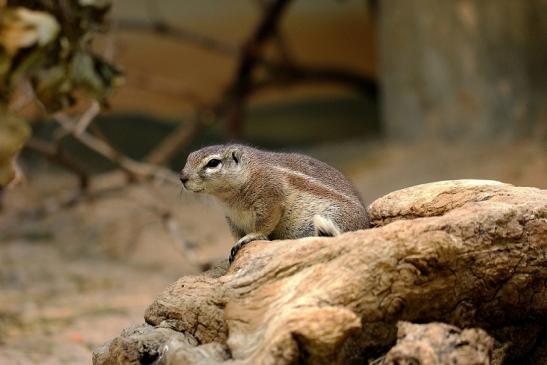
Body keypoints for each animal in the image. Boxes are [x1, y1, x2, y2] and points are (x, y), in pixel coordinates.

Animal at [180, 144, 368, 264]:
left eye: (213, 163)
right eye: (188, 157)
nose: (182, 177)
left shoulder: (270, 198)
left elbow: (264, 225)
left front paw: (250, 237)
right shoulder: (231, 218)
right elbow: (236, 234)